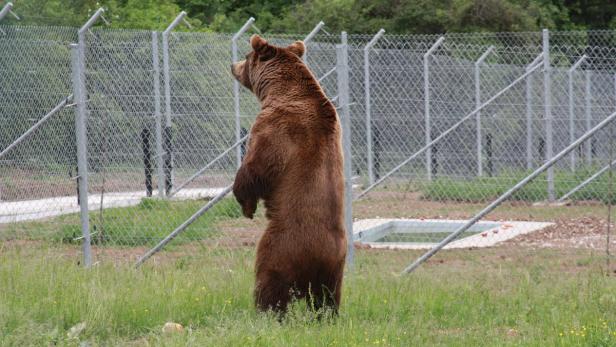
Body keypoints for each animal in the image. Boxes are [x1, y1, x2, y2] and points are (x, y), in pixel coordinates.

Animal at [231, 35, 346, 316]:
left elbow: (256, 169)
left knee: (269, 283)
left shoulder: (275, 127)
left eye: (246, 57)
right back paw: (326, 316)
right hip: (335, 267)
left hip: (281, 247)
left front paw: (246, 204)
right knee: (328, 298)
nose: (232, 65)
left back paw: (265, 313)